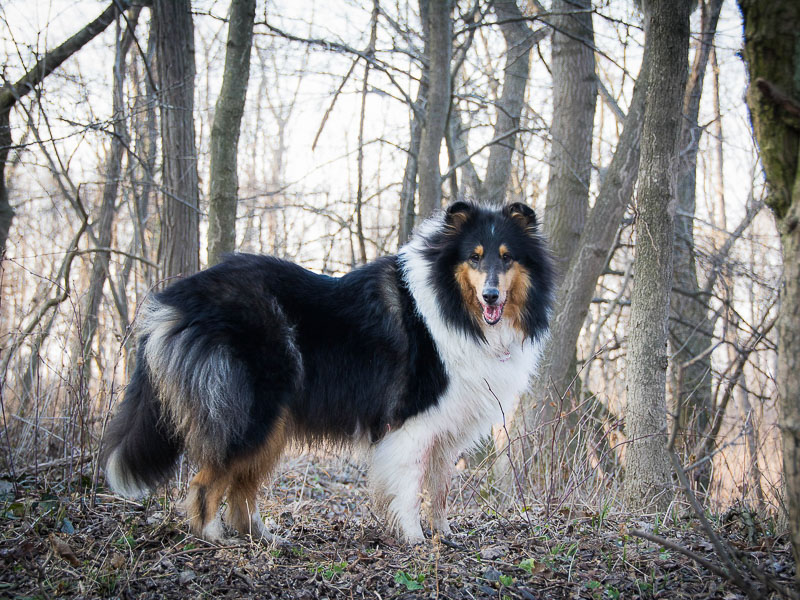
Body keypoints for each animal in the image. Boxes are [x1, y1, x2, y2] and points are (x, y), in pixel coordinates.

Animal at [103, 202, 552, 544]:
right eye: (474, 256)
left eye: (507, 256)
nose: (491, 296)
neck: (455, 306)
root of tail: (173, 300)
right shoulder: (412, 425)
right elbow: (409, 489)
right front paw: (415, 541)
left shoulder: (446, 430)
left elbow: (439, 489)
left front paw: (444, 536)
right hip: (250, 412)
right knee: (206, 483)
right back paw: (214, 539)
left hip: (275, 423)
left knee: (242, 487)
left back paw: (264, 538)